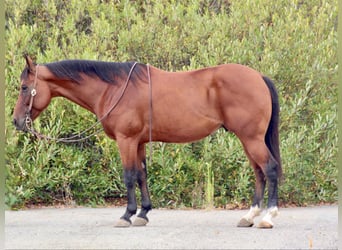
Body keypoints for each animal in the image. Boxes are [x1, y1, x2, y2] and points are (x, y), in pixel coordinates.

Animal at [12, 54, 280, 229]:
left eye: (24, 87)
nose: (16, 121)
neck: (115, 88)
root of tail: (259, 77)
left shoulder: (126, 140)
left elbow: (129, 175)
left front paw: (126, 215)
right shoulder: (138, 142)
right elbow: (142, 175)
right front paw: (143, 213)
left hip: (251, 139)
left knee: (270, 169)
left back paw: (268, 217)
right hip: (248, 140)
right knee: (259, 173)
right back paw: (250, 216)